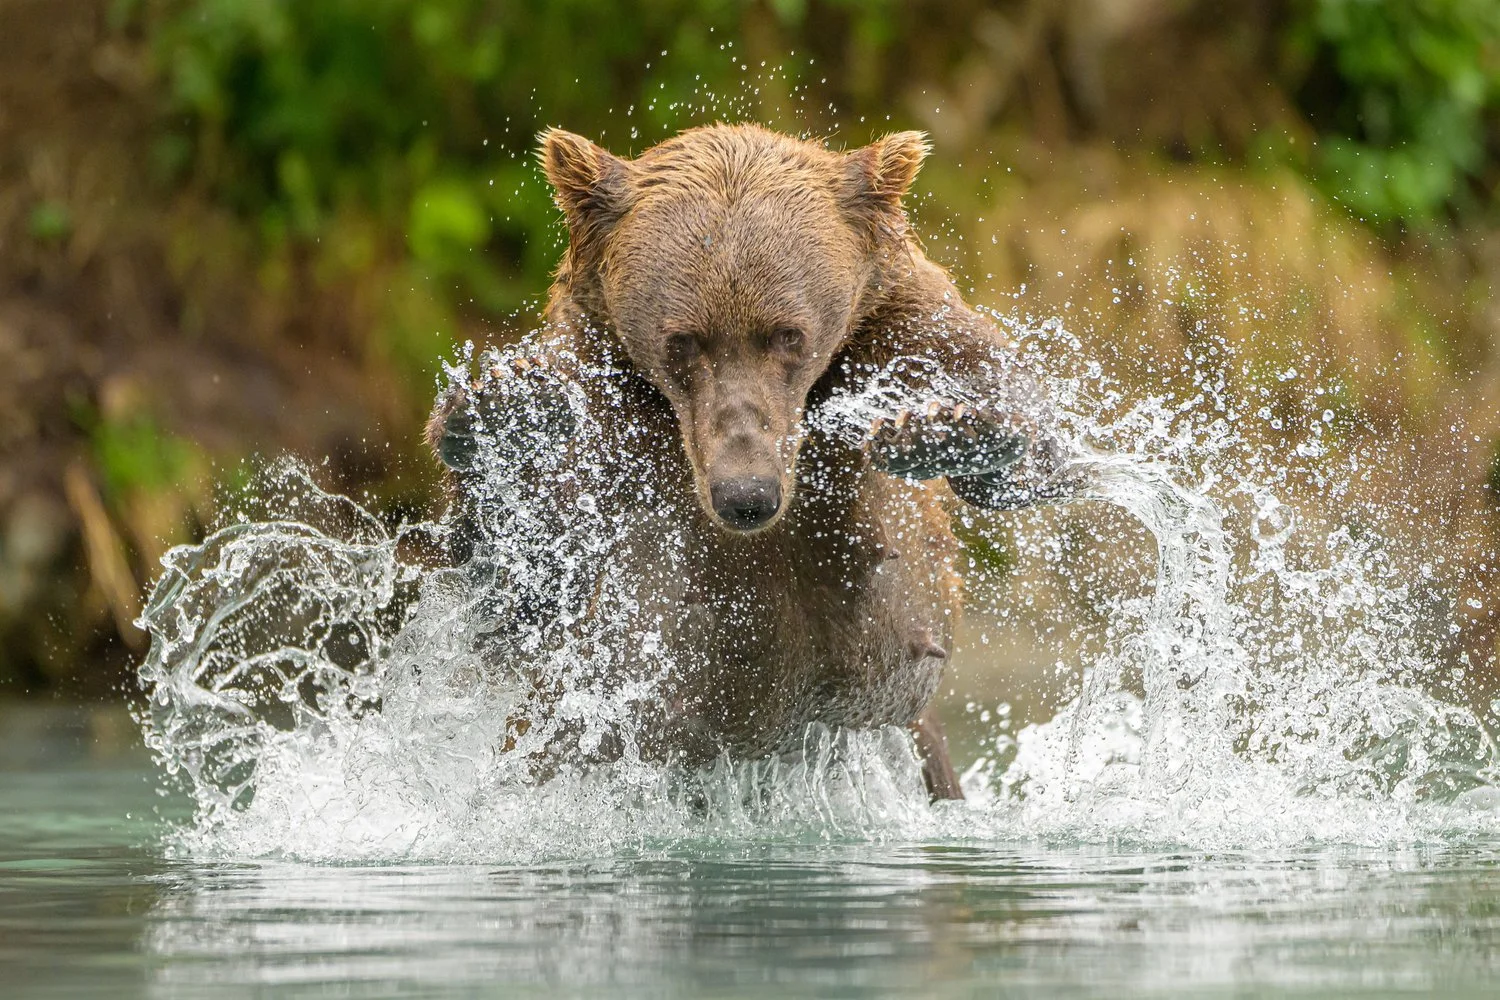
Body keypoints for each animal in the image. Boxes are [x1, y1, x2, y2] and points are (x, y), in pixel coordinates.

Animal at [429, 122, 1074, 797]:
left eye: (787, 334)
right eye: (682, 341)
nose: (747, 494)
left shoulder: (899, 326)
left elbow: (1028, 434)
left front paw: (945, 431)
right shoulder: (601, 401)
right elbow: (515, 582)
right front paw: (500, 412)